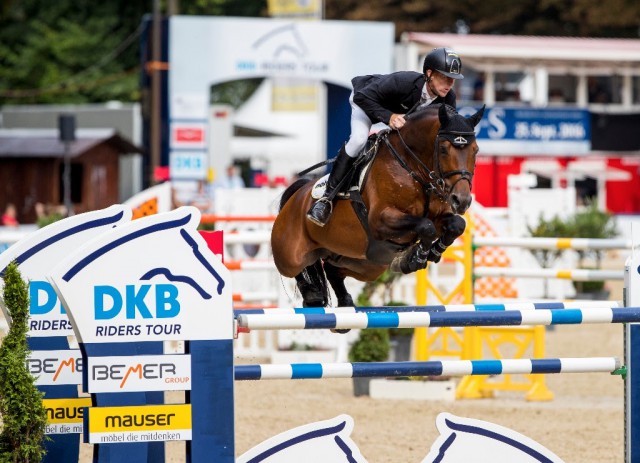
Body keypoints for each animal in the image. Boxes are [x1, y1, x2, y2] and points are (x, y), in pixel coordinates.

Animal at [270, 103, 484, 310]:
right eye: (444, 149)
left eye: (475, 149)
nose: (461, 200)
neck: (413, 169)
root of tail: (296, 195)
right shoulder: (381, 219)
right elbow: (426, 226)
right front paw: (416, 257)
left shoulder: (438, 216)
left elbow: (456, 224)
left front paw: (431, 253)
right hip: (290, 256)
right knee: (299, 268)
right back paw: (313, 295)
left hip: (366, 263)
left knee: (332, 269)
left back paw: (344, 302)